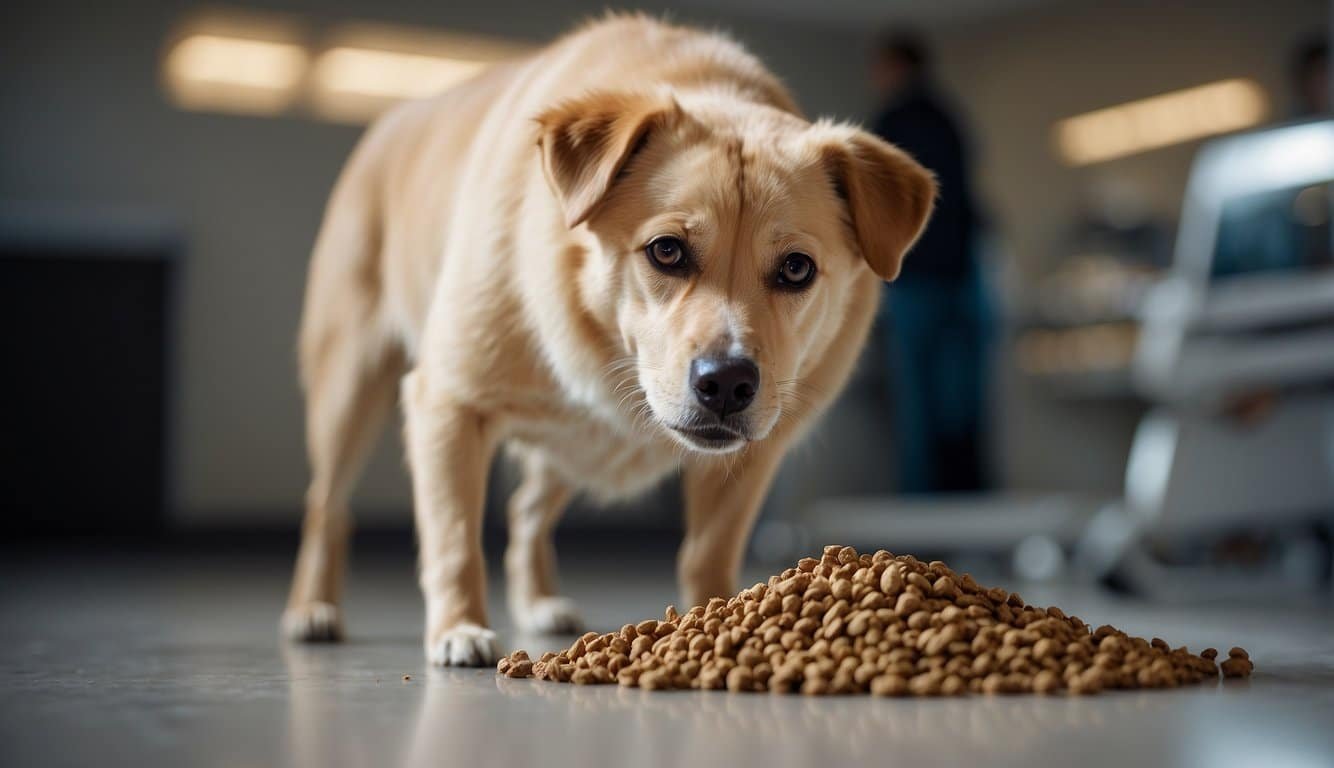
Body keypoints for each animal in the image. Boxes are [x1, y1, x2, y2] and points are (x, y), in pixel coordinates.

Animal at [281, 13, 933, 666]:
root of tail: (395, 116)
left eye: (797, 269)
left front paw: (716, 623)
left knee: (526, 512)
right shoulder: (447, 402)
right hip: (350, 386)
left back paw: (540, 603)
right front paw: (459, 628)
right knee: (326, 506)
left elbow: (708, 551)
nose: (727, 384)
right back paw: (312, 608)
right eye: (666, 251)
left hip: (576, 447)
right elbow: (455, 537)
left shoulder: (755, 454)